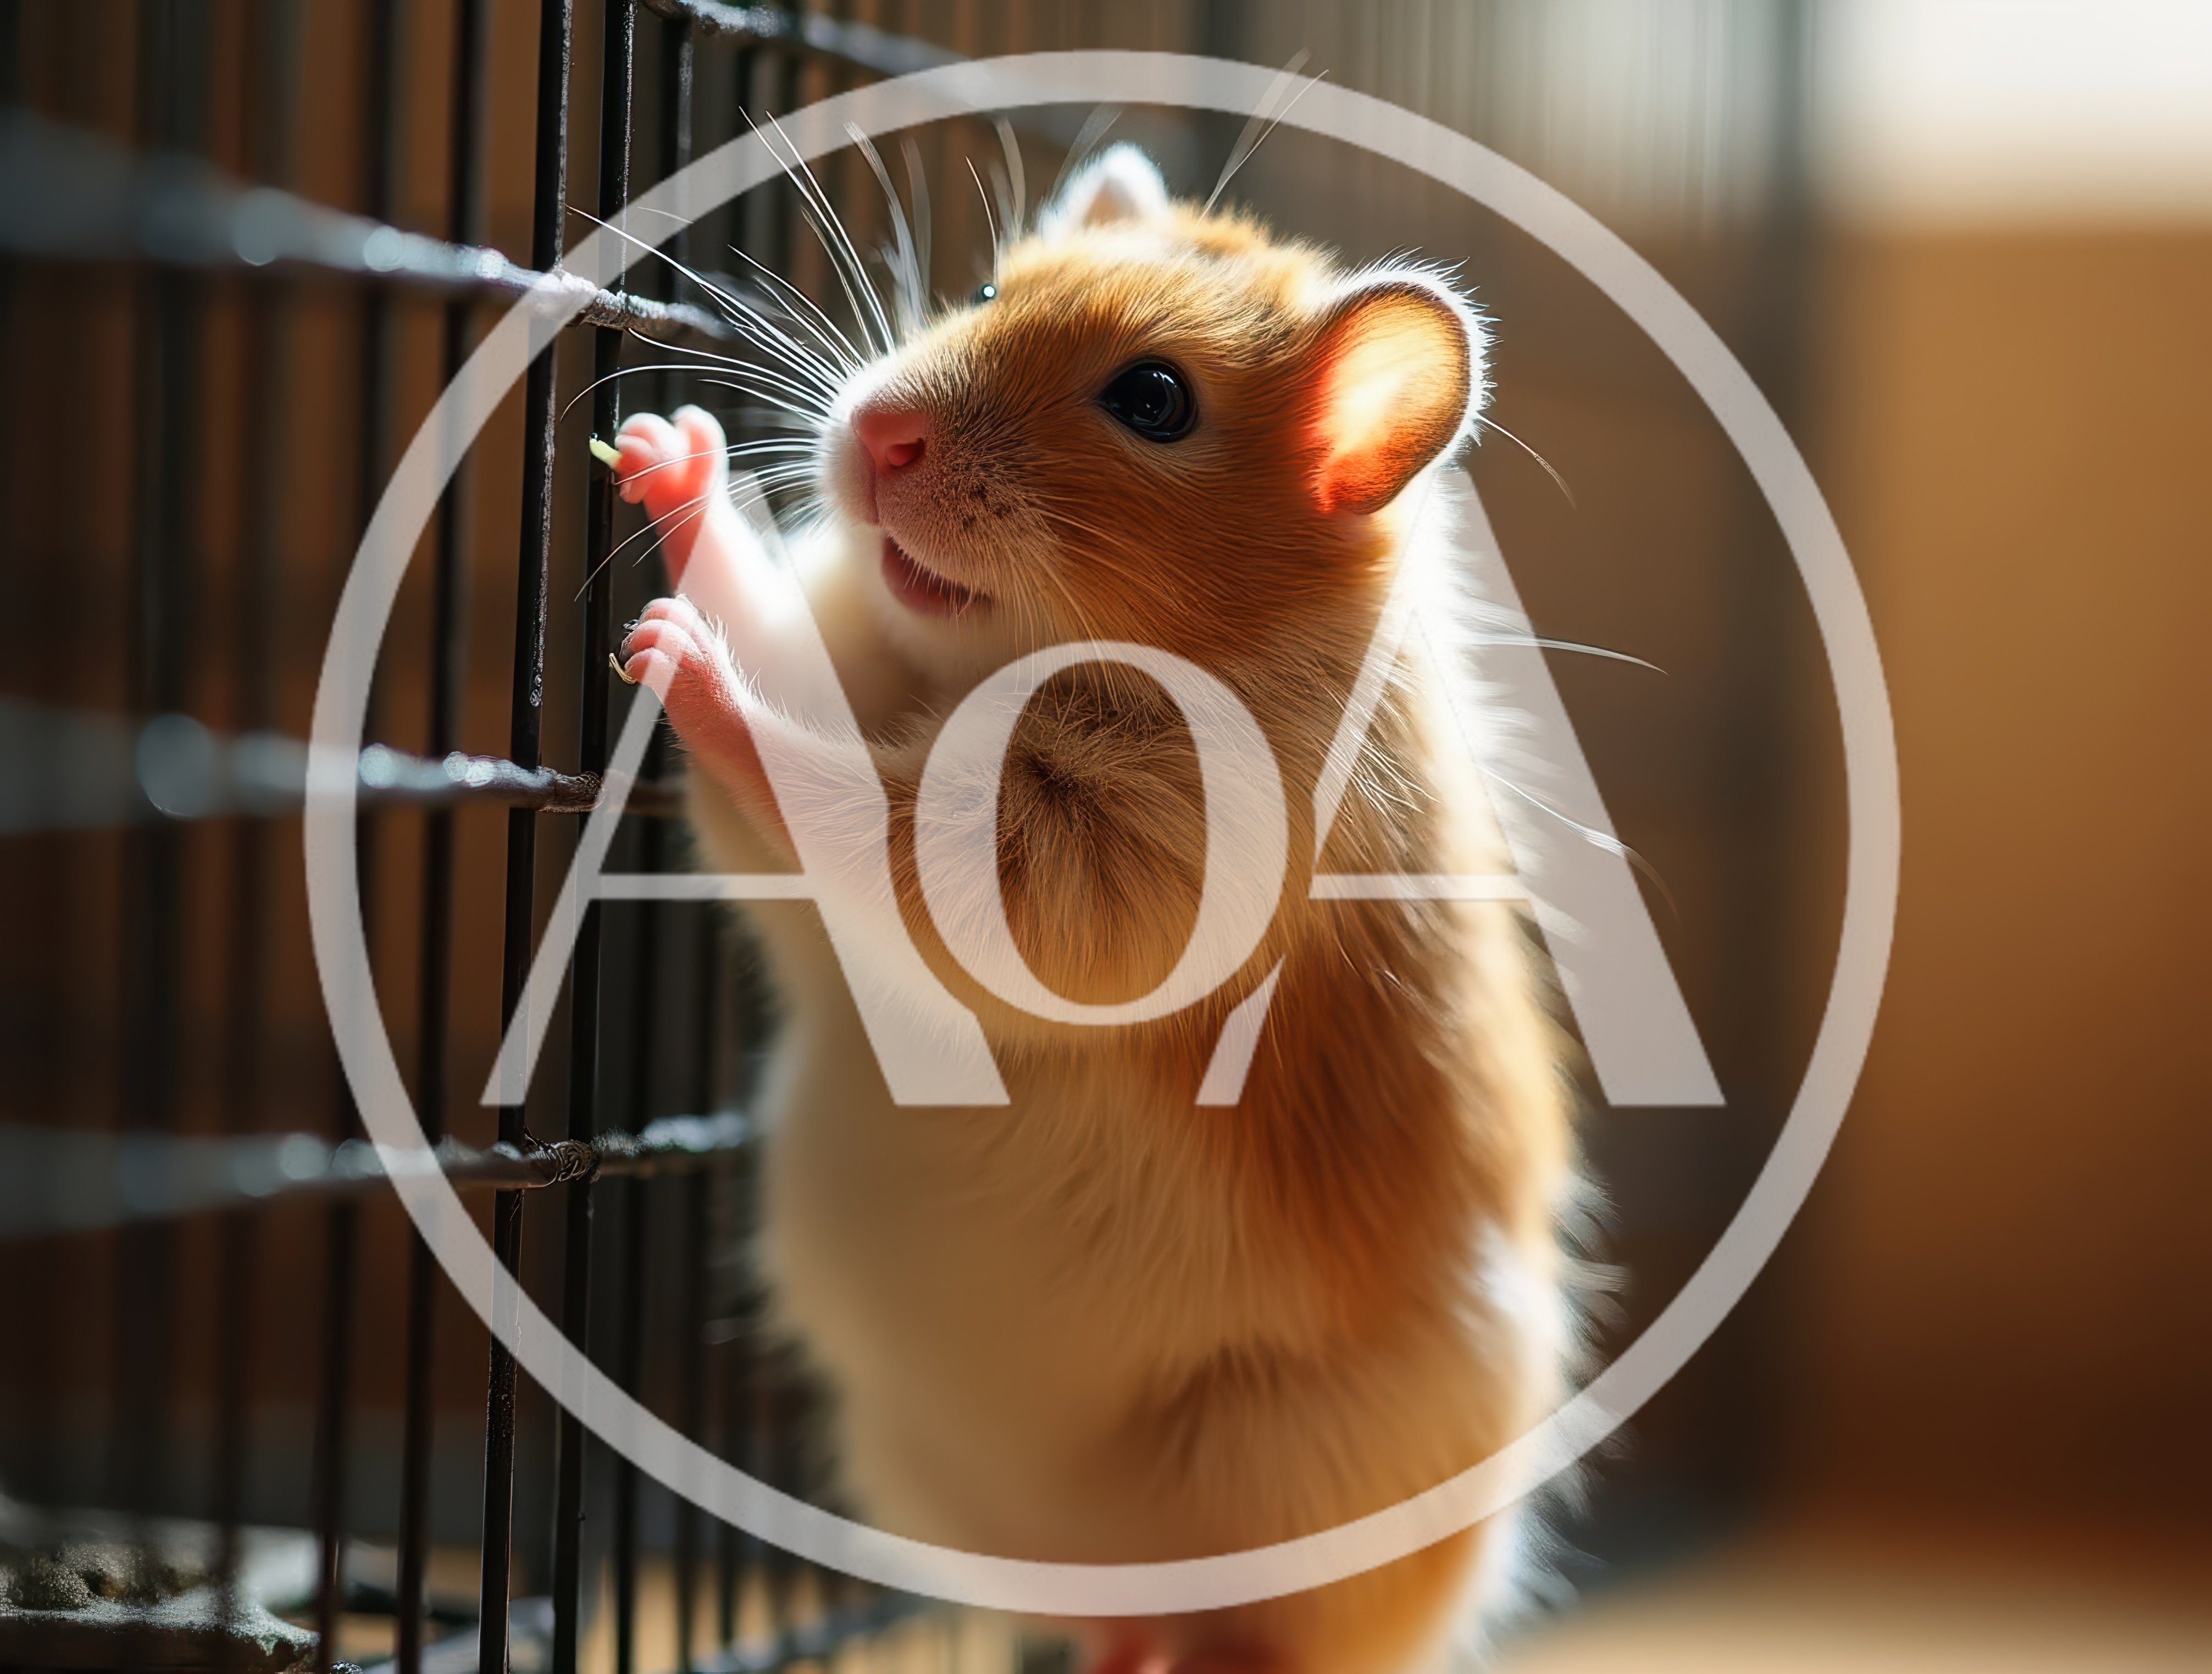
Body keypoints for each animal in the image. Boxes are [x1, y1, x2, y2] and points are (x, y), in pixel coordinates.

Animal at [611, 146, 1574, 1674]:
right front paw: (667, 451)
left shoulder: (1111, 863)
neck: (995, 666)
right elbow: (795, 694)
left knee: (1232, 1638)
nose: (876, 433)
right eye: (984, 290)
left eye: (1154, 401)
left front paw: (675, 655)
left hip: (1281, 1488)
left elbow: (868, 807)